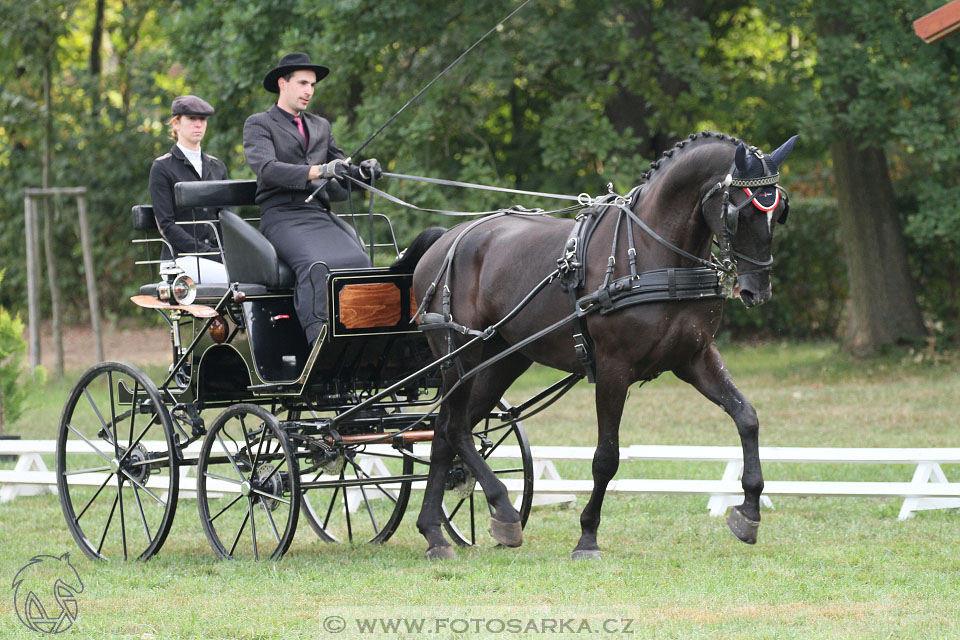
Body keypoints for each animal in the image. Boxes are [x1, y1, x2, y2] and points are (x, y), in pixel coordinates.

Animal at [398, 132, 796, 556]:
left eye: (779, 211)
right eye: (740, 213)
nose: (757, 291)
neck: (656, 253)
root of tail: (445, 239)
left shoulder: (695, 357)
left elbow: (746, 416)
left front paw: (748, 512)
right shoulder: (612, 368)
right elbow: (606, 456)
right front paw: (587, 535)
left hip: (501, 360)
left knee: (445, 431)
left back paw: (436, 531)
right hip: (457, 355)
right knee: (453, 426)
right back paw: (499, 508)